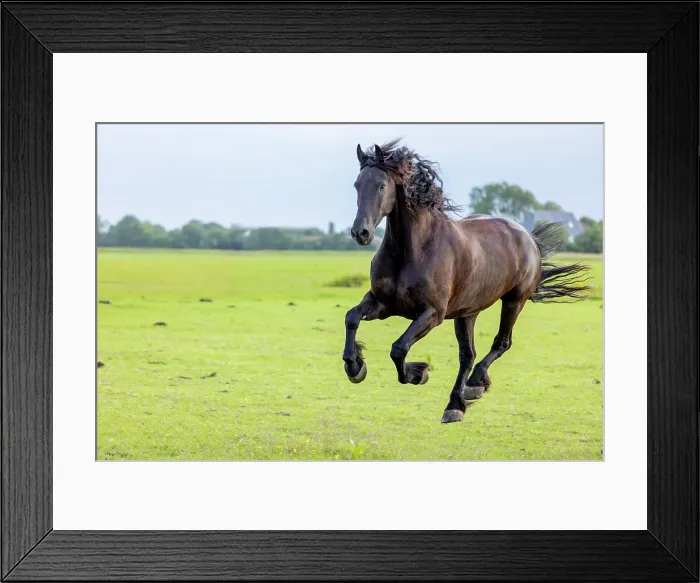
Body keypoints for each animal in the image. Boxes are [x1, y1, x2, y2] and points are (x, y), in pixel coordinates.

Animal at [342, 139, 591, 423]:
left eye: (382, 185)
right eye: (357, 184)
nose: (360, 232)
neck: (412, 250)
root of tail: (528, 237)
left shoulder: (432, 313)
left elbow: (399, 348)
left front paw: (418, 373)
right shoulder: (384, 304)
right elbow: (351, 317)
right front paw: (355, 366)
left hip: (514, 300)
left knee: (500, 343)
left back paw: (473, 387)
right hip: (467, 313)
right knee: (467, 355)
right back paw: (455, 405)